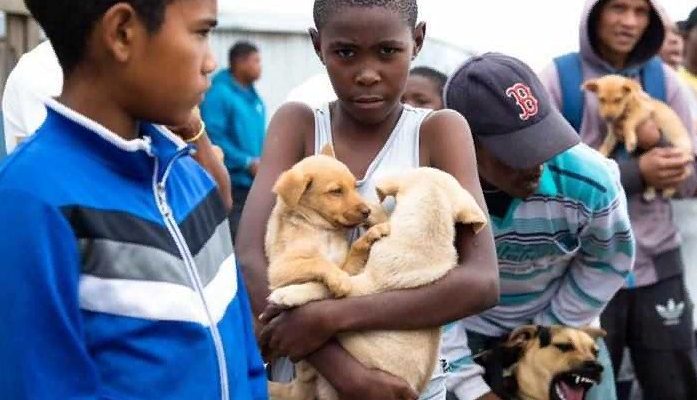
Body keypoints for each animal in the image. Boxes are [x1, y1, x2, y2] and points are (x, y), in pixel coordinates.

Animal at [270, 168, 486, 400]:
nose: (363, 207)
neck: (430, 228)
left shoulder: (366, 285)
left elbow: (324, 287)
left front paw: (287, 294)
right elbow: (385, 219)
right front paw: (373, 213)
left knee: (301, 386)